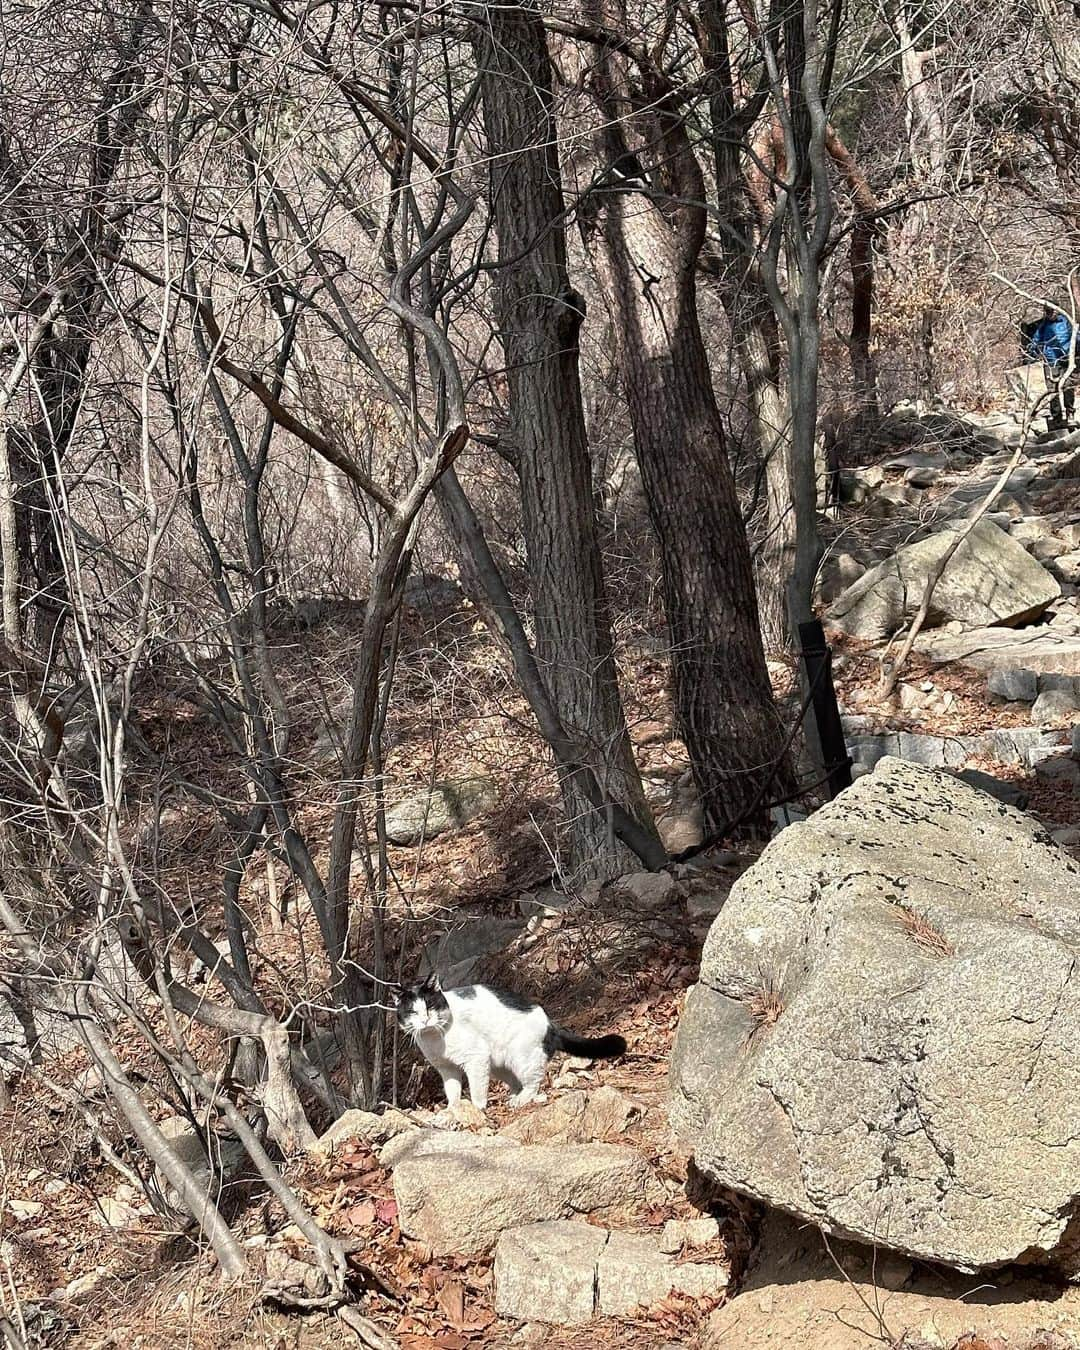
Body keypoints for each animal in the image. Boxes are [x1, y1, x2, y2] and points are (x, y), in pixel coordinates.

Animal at [391, 977, 623, 1112]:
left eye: (430, 1005)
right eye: (412, 1011)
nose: (425, 1020)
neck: (434, 1037)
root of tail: (551, 1025)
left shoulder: (476, 1059)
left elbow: (476, 1091)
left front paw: (476, 1109)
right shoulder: (446, 1068)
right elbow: (453, 1091)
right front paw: (451, 1111)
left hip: (521, 1059)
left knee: (533, 1082)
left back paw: (520, 1100)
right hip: (499, 1066)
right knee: (516, 1084)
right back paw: (513, 1096)